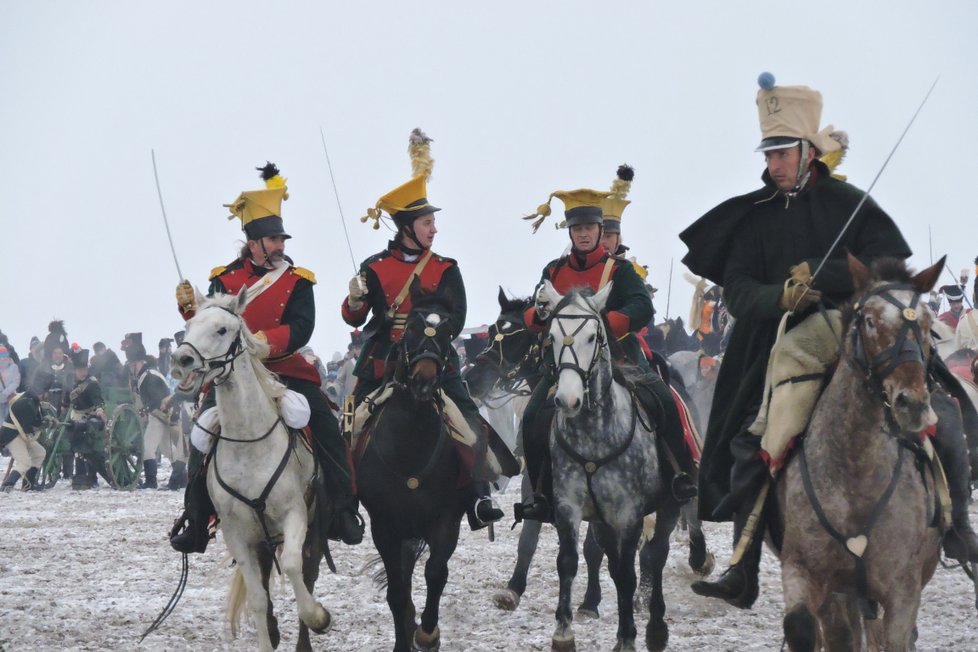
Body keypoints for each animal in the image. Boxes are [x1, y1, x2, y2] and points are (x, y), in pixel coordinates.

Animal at [170, 292, 330, 652]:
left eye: (222, 329)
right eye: (188, 324)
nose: (181, 359)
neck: (248, 442)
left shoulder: (295, 515)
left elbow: (294, 566)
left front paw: (318, 616)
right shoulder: (237, 533)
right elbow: (257, 597)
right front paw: (267, 636)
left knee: (308, 572)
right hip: (261, 539)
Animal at [354, 280, 468, 652]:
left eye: (447, 331)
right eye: (413, 328)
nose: (423, 381)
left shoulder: (447, 520)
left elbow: (435, 572)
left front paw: (427, 633)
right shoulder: (385, 527)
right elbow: (396, 590)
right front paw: (404, 639)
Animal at [532, 282, 680, 652]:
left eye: (593, 337)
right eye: (551, 337)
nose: (567, 400)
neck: (593, 435)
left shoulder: (628, 514)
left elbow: (629, 573)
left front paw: (627, 637)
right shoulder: (568, 506)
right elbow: (569, 562)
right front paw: (563, 632)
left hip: (669, 506)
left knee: (655, 556)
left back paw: (656, 627)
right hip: (602, 521)